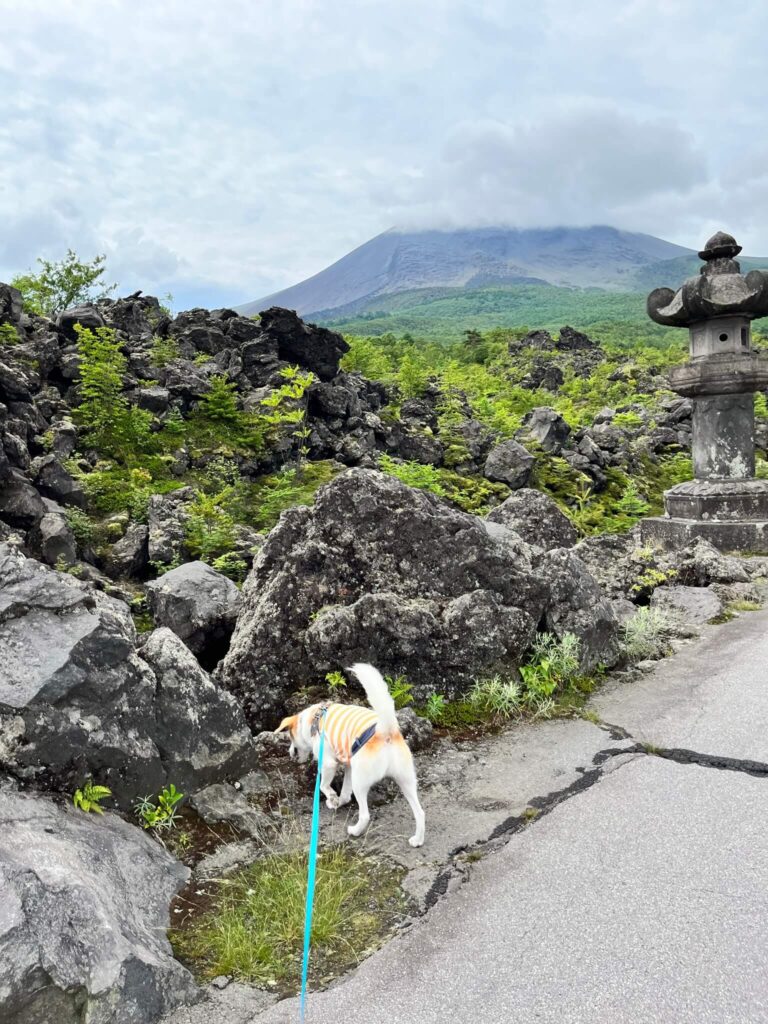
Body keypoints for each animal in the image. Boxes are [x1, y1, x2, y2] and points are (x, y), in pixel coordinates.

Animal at [276, 663, 428, 847]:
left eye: (290, 738)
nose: (290, 753)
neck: (314, 719)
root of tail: (385, 731)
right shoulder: (349, 766)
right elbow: (345, 793)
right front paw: (337, 801)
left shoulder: (328, 764)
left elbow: (324, 786)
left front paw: (332, 797)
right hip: (405, 781)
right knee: (420, 812)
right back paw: (418, 840)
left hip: (360, 783)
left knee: (365, 815)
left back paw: (355, 831)